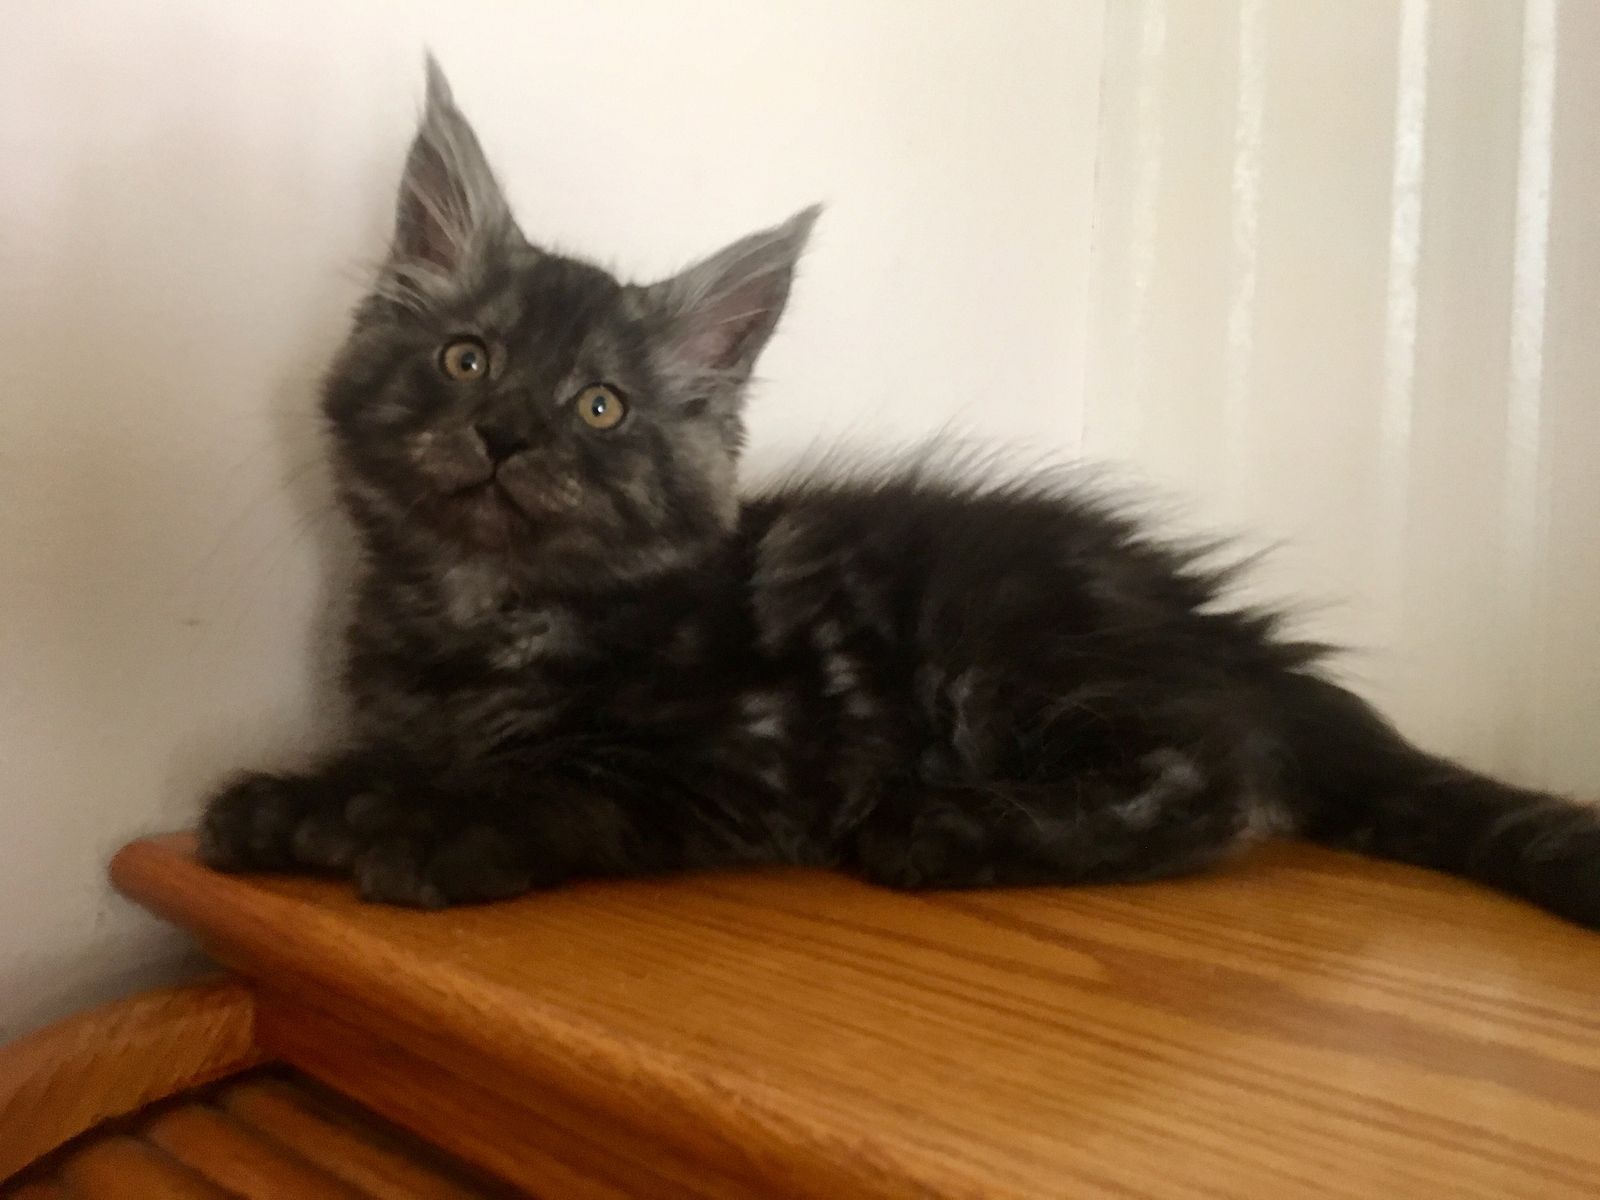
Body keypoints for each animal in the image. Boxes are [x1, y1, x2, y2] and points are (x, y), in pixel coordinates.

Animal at [198, 60, 1599, 928]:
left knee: (1216, 786)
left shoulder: (740, 764)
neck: (482, 612)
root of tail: (1233, 638)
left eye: (599, 407)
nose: (501, 432)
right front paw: (295, 798)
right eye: (467, 359)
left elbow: (561, 786)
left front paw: (419, 825)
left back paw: (946, 830)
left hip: (1017, 645)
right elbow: (398, 754)